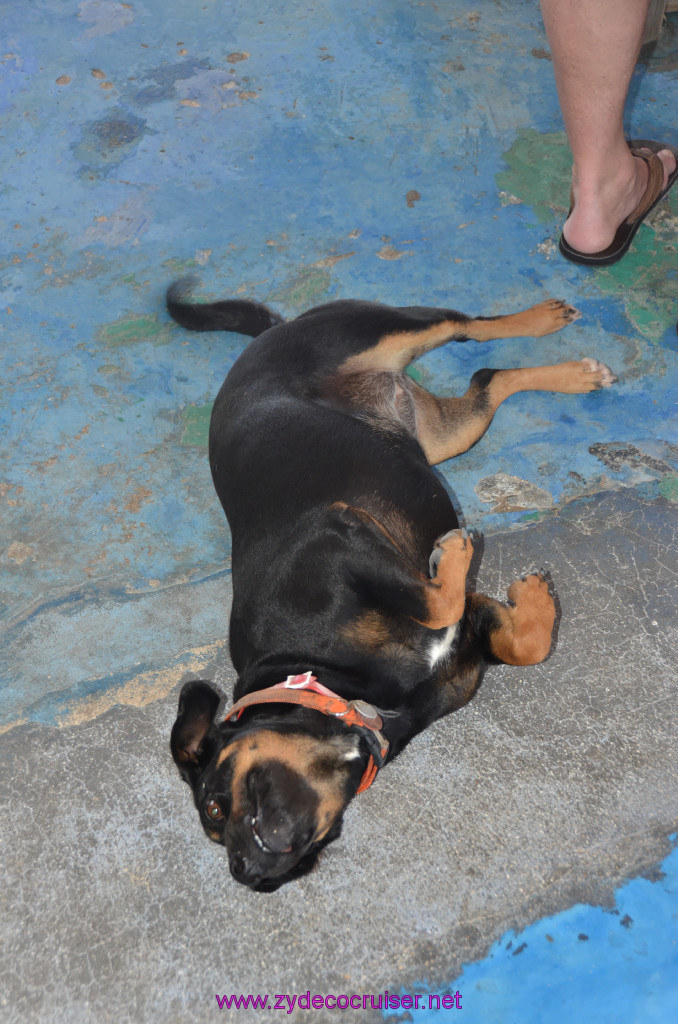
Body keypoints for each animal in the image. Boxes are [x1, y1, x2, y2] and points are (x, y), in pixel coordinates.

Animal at [168, 284, 614, 892]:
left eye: (216, 803)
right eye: (217, 829)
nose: (251, 874)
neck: (329, 685)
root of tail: (268, 334)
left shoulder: (339, 533)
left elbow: (438, 597)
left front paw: (458, 555)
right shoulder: (470, 627)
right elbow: (522, 642)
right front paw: (533, 597)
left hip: (380, 328)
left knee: (469, 327)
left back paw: (544, 321)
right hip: (448, 433)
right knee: (488, 377)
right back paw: (576, 373)